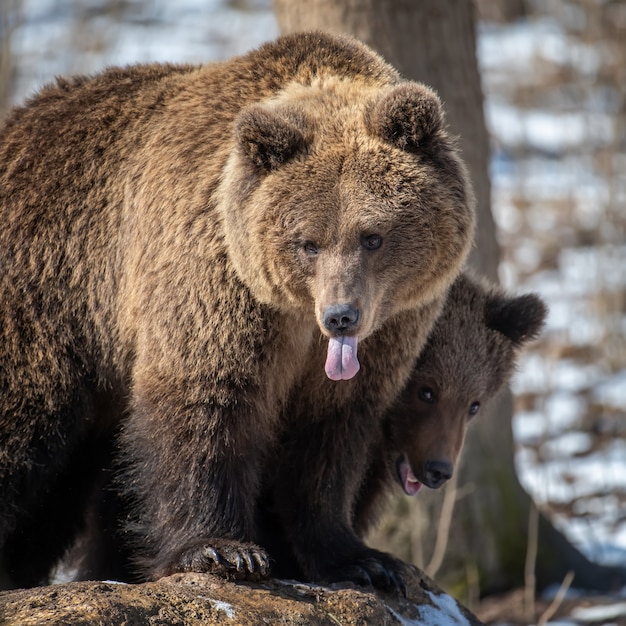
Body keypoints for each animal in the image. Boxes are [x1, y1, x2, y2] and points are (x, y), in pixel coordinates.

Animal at [0, 31, 470, 588]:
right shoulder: (216, 286)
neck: (296, 317)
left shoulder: (387, 336)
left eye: (372, 236)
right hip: (50, 304)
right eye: (308, 242)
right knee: (24, 427)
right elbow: (208, 402)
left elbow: (330, 441)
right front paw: (224, 551)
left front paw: (363, 559)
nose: (341, 315)